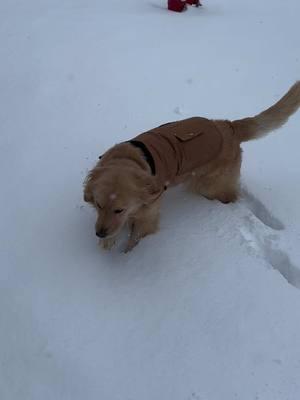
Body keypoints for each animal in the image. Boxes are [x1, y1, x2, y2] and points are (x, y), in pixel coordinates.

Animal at [84, 82, 300, 252]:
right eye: (98, 205)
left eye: (119, 210)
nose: (99, 233)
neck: (130, 160)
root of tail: (229, 126)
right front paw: (109, 243)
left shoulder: (149, 215)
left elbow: (136, 237)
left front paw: (128, 257)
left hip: (210, 184)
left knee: (230, 194)